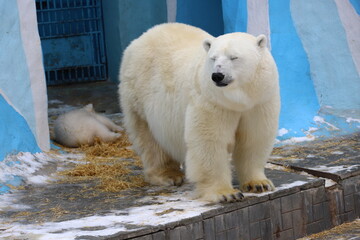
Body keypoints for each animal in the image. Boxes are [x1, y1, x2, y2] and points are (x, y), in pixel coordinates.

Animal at [119, 23, 280, 202]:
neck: (238, 99)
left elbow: (254, 138)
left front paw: (259, 184)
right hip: (139, 93)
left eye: (234, 57)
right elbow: (209, 140)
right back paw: (168, 175)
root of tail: (142, 37)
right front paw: (226, 193)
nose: (217, 75)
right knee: (150, 139)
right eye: (213, 58)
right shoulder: (211, 100)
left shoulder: (259, 101)